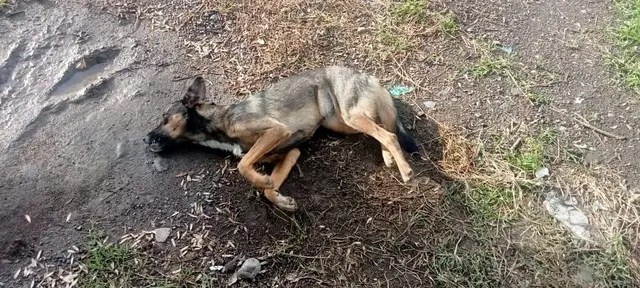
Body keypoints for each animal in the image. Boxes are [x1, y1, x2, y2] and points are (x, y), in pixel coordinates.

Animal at [142, 67, 418, 212]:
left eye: (164, 118)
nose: (145, 139)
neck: (220, 120)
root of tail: (366, 76)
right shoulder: (289, 152)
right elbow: (268, 190)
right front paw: (282, 199)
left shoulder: (275, 131)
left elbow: (243, 166)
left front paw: (262, 180)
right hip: (343, 122)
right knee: (381, 129)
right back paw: (388, 158)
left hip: (351, 116)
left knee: (389, 134)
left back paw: (404, 169)